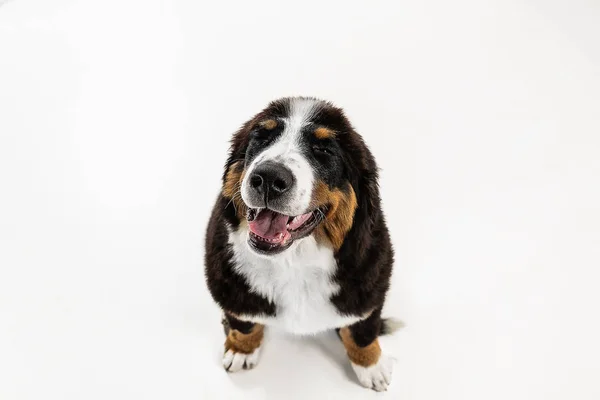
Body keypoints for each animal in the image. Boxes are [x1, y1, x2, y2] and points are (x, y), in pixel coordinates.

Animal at [204, 96, 396, 390]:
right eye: (261, 137)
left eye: (323, 150)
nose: (269, 178)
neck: (293, 262)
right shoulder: (229, 285)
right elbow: (244, 322)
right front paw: (241, 349)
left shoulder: (370, 285)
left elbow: (362, 330)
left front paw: (371, 366)